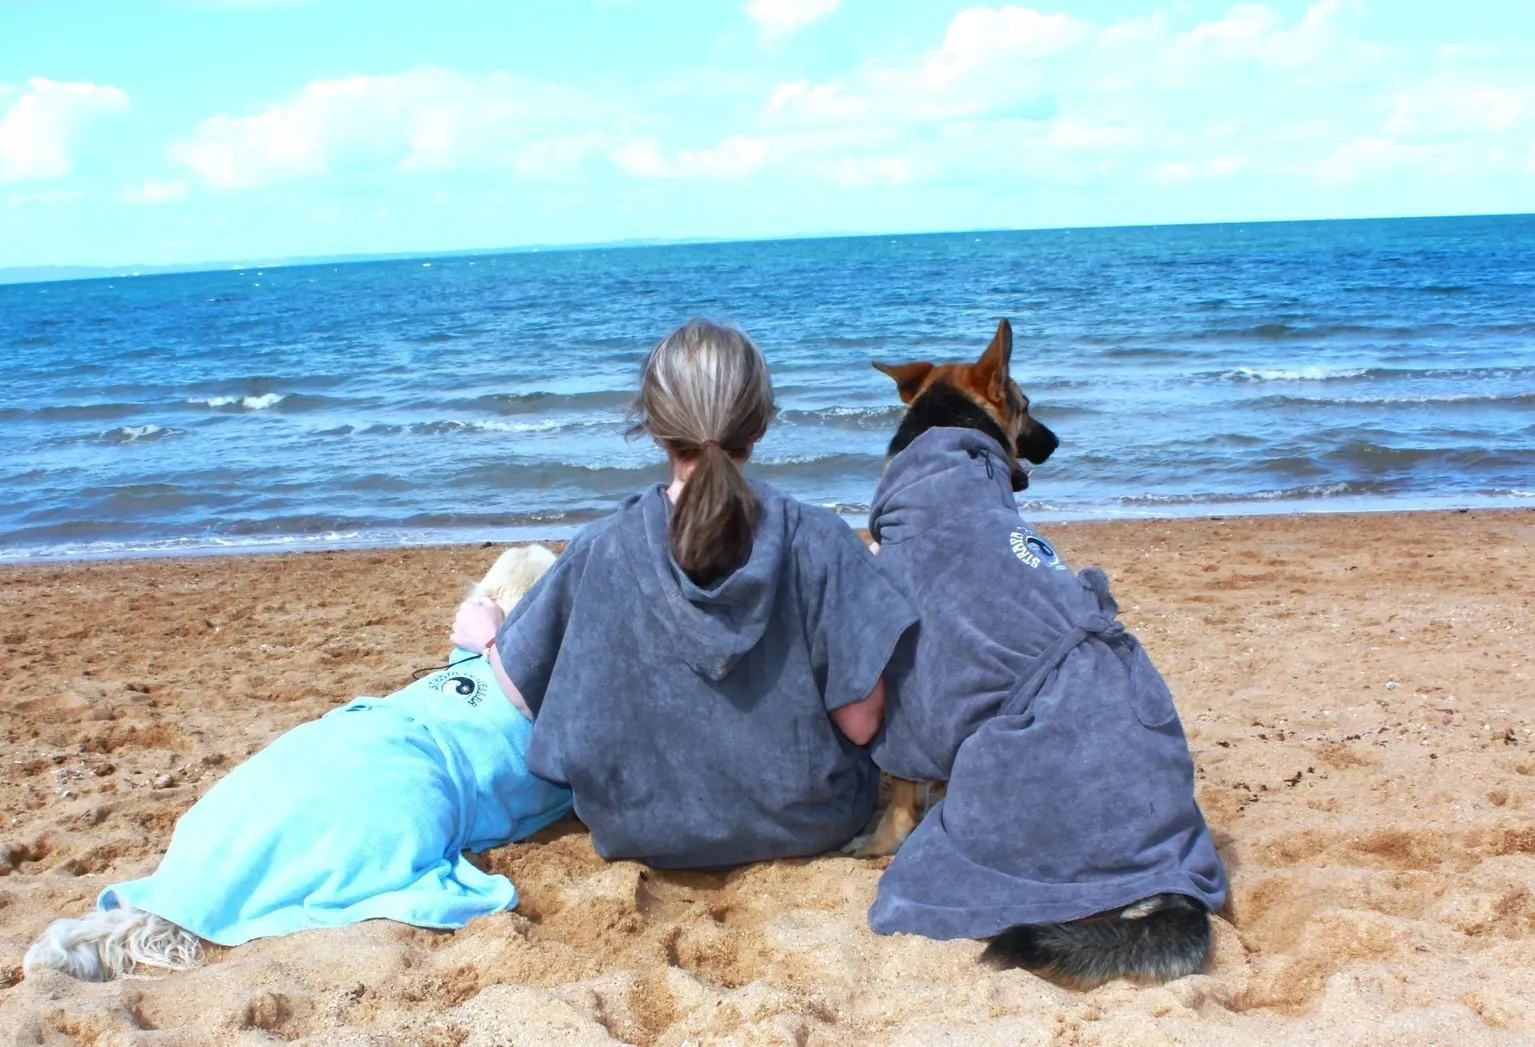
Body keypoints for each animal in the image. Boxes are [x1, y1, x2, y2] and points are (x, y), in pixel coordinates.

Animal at [853, 317, 1209, 988]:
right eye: (1027, 405)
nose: (1057, 440)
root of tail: (1173, 883)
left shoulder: (909, 690)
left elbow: (901, 792)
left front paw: (879, 839)